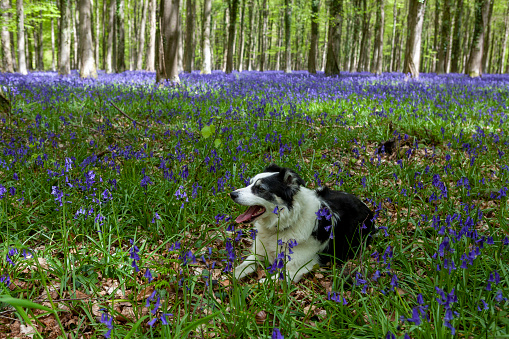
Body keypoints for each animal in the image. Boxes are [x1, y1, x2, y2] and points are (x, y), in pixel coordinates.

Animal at [229, 165, 374, 284]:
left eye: (260, 188)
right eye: (249, 183)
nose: (232, 194)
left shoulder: (295, 269)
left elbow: (263, 283)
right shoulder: (257, 253)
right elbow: (238, 268)